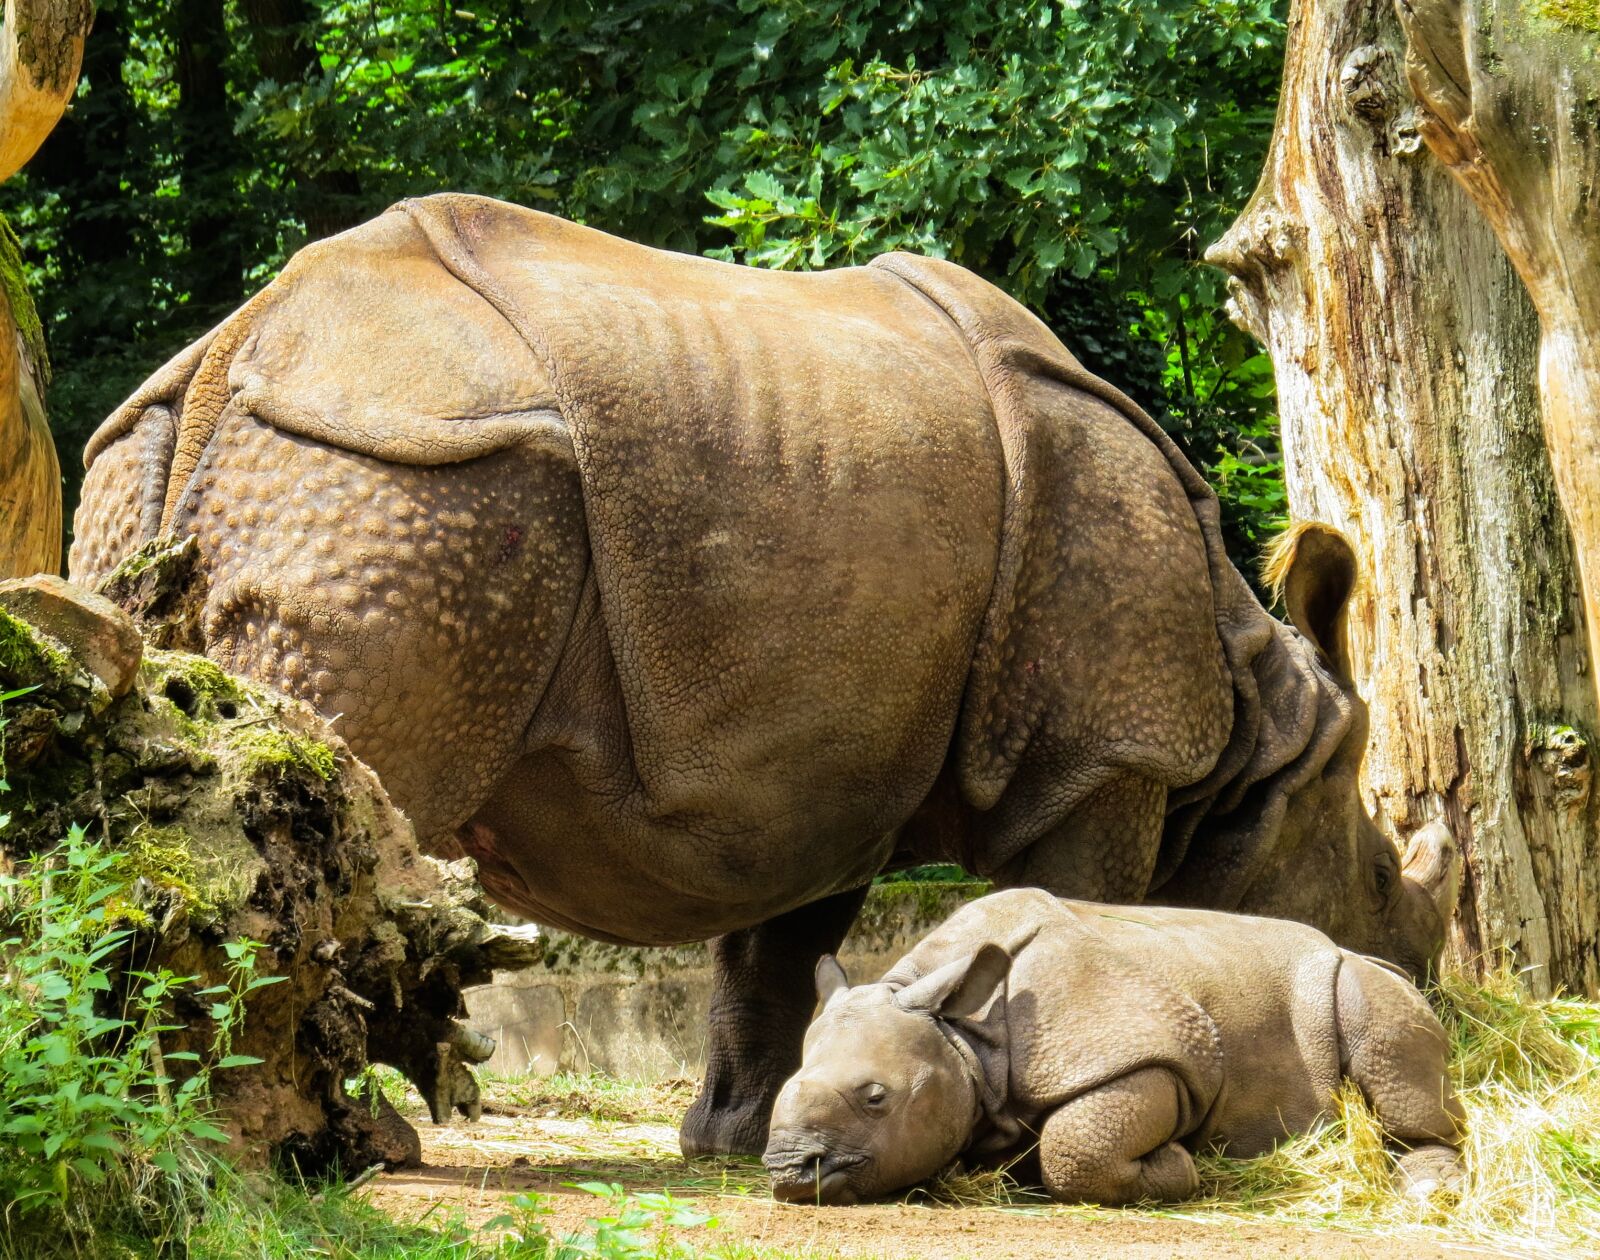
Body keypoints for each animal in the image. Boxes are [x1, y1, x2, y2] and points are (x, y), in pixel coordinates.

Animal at [68, 193, 1459, 1157]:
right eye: (1379, 877)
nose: (1428, 994)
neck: (1254, 732)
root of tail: (246, 343)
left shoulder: (803, 769)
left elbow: (770, 949)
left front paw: (732, 1140)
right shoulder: (1102, 756)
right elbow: (1076, 910)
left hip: (188, 454)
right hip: (407, 470)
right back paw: (331, 1146)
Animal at [765, 887, 1465, 1206]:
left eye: (875, 1097)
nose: (785, 1172)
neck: (964, 1031)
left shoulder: (1154, 1050)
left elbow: (1076, 1144)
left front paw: (1181, 1168)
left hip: (1362, 981)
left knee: (1384, 1041)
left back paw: (1428, 1193)